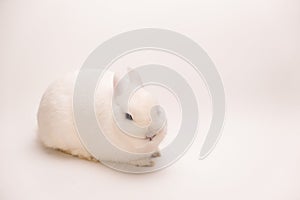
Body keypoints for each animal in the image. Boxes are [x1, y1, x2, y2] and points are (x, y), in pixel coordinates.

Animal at [37, 69, 166, 166]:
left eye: (157, 110)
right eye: (128, 116)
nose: (151, 135)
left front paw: (157, 153)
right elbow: (134, 160)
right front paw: (147, 162)